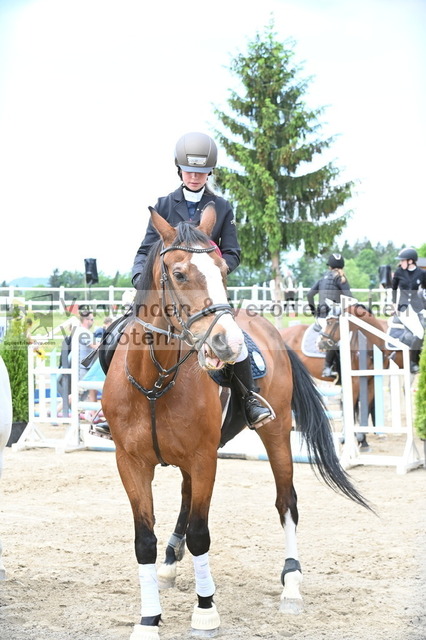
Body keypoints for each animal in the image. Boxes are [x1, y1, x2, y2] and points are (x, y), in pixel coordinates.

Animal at [101, 205, 371, 640]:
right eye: (179, 274)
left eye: (223, 270)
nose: (227, 343)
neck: (156, 381)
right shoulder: (131, 462)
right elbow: (144, 540)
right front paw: (148, 619)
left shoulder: (203, 458)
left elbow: (201, 534)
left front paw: (205, 611)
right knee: (185, 501)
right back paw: (170, 564)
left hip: (275, 434)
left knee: (286, 502)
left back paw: (291, 583)